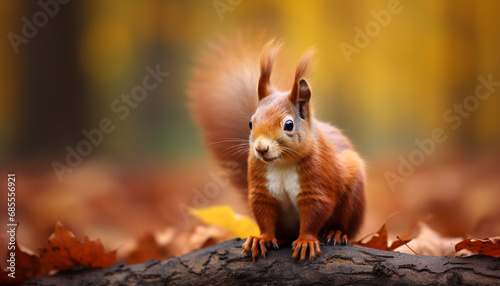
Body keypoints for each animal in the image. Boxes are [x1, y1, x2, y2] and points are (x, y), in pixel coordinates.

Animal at [189, 32, 366, 260]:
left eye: (288, 125)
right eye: (250, 123)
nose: (260, 148)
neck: (282, 164)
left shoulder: (318, 182)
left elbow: (315, 212)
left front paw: (306, 241)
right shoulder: (261, 190)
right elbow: (264, 215)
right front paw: (261, 239)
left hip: (354, 198)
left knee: (346, 226)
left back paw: (336, 232)